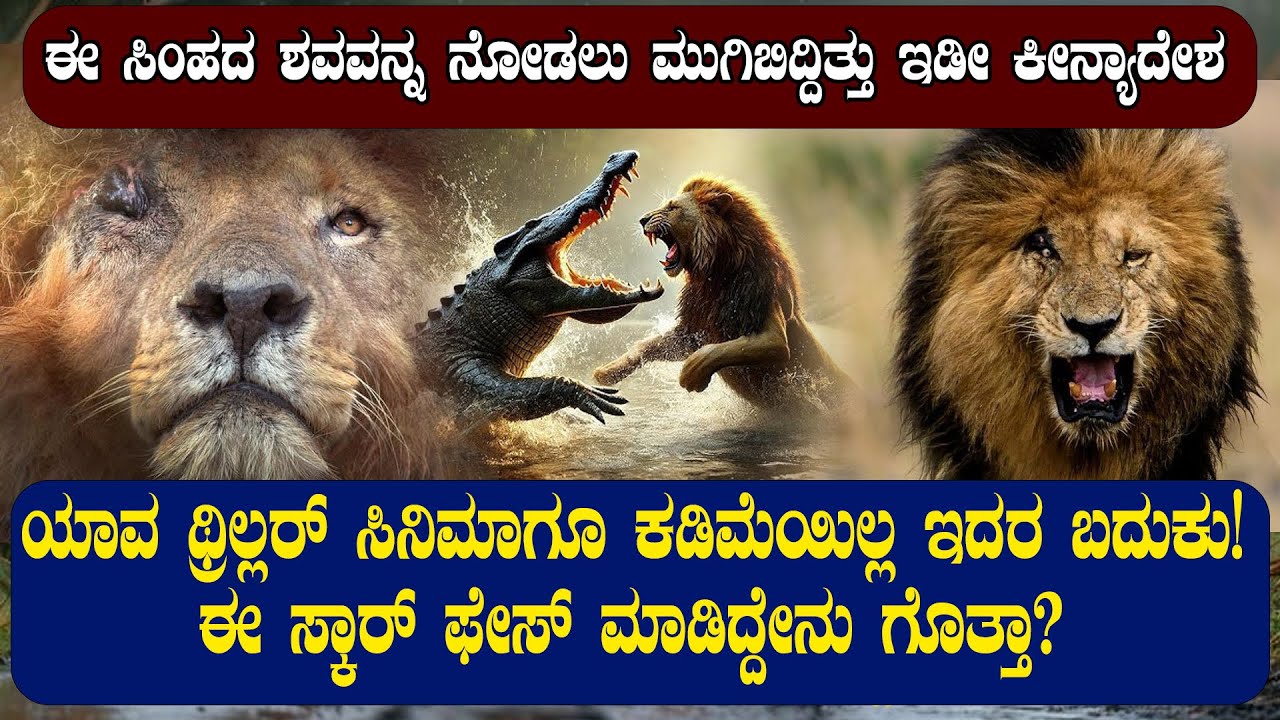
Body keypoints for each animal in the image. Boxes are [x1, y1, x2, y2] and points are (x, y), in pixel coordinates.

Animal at [593, 174, 851, 409]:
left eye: (673, 207)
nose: (642, 219)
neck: (714, 276)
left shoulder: (768, 318)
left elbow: (725, 348)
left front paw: (691, 375)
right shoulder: (693, 329)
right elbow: (646, 345)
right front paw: (607, 372)